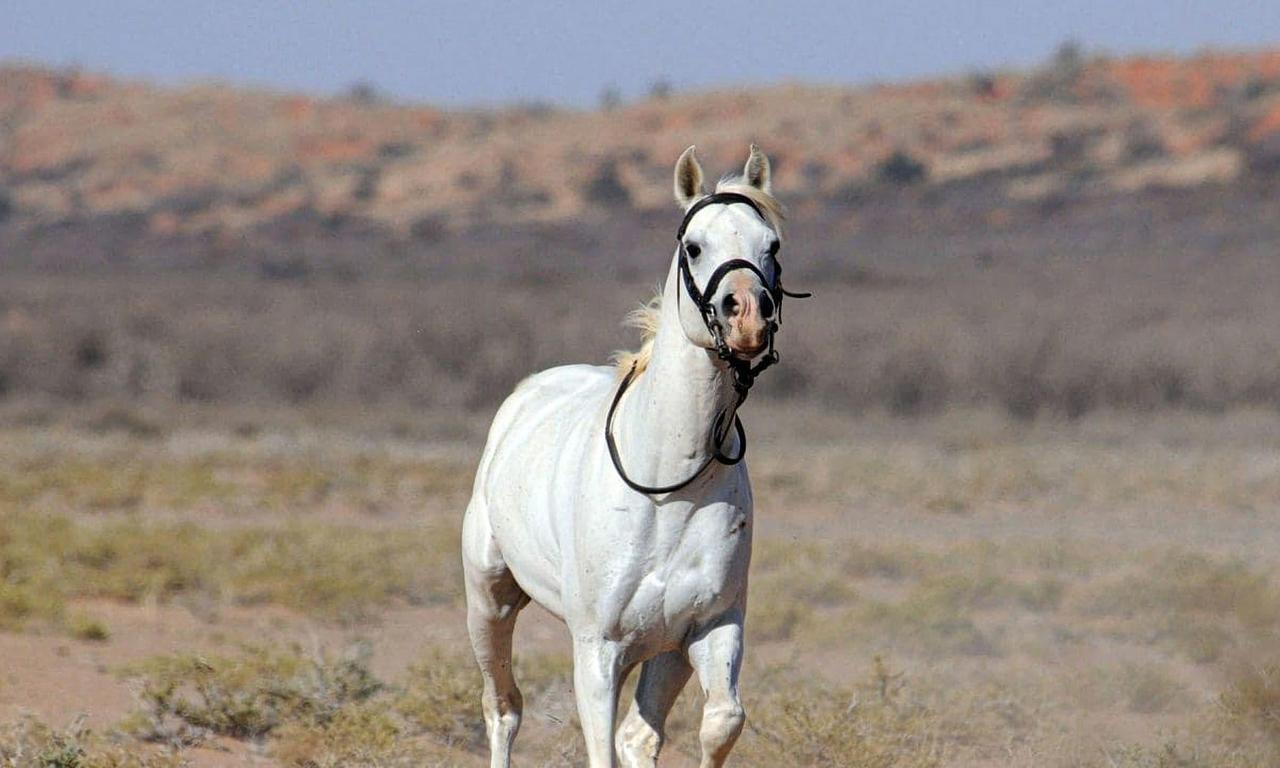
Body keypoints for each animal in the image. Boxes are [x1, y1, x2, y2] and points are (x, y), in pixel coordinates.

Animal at [461, 144, 803, 767]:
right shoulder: (598, 648)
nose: (747, 316)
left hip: (663, 649)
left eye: (772, 246)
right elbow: (600, 746)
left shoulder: (708, 628)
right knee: (502, 709)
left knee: (638, 736)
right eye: (694, 246)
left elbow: (722, 722)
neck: (671, 487)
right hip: (490, 600)